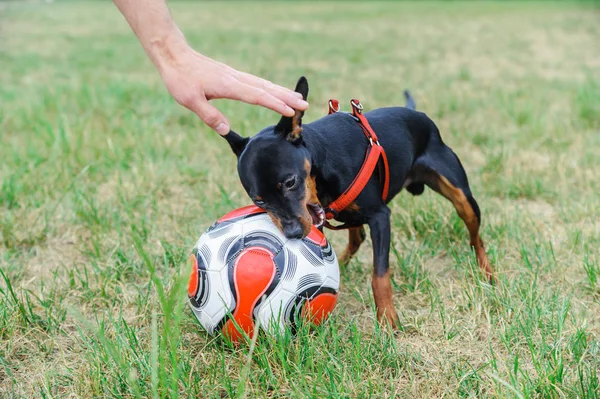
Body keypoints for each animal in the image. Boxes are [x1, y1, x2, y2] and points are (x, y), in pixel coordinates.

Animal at [220, 76, 492, 330]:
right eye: (259, 200)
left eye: (289, 182)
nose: (293, 233)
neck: (321, 165)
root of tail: (415, 113)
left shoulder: (380, 216)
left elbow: (379, 275)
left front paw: (387, 320)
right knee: (356, 237)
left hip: (462, 197)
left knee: (475, 236)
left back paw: (487, 273)